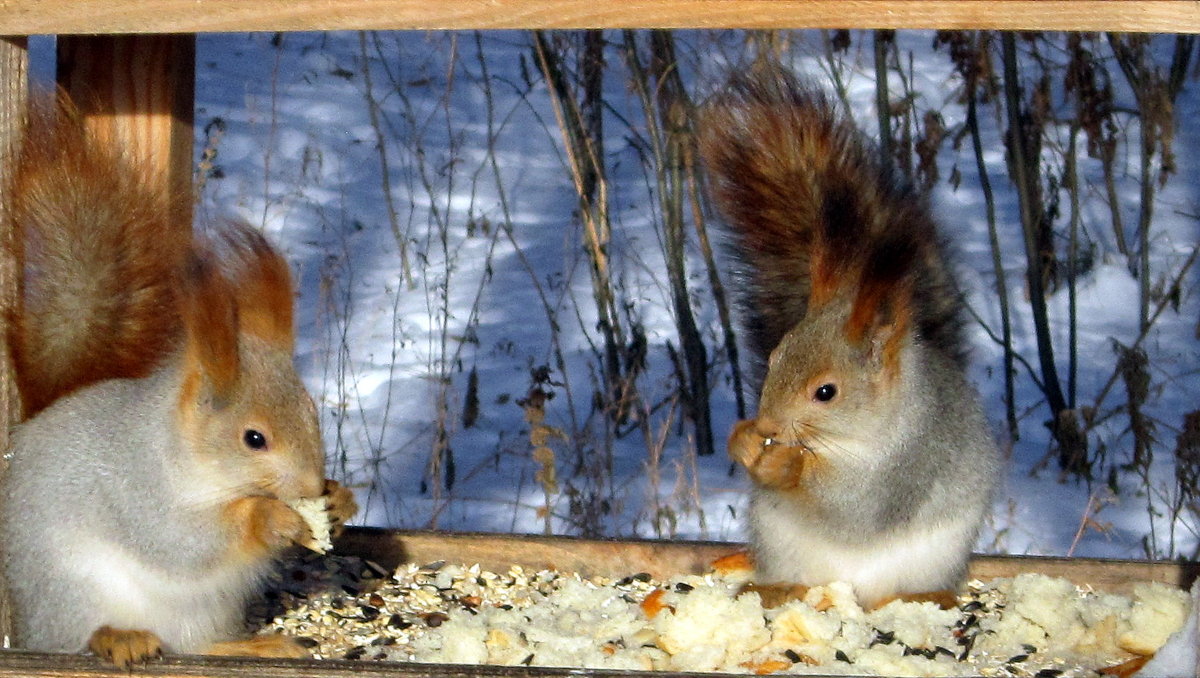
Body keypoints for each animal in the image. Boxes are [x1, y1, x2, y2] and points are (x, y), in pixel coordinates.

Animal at [0, 95, 355, 667]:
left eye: (311, 414)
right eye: (253, 438)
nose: (307, 486)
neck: (197, 463)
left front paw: (341, 500)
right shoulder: (134, 487)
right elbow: (180, 542)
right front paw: (269, 518)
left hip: (206, 613)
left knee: (202, 646)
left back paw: (258, 643)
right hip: (73, 595)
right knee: (81, 635)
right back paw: (119, 638)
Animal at [700, 68, 1003, 607]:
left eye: (827, 392)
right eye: (773, 358)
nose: (769, 423)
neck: (847, 442)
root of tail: (852, 591)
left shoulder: (909, 464)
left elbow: (853, 508)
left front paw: (785, 468)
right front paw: (744, 440)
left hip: (933, 557)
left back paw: (921, 600)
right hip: (779, 540)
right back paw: (774, 589)